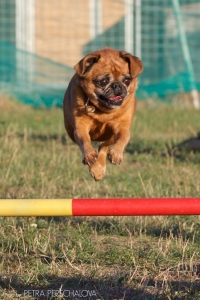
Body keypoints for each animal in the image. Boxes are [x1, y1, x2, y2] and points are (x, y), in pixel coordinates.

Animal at [63, 47, 143, 180]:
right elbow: (84, 140)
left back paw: (100, 166)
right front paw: (90, 156)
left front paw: (116, 154)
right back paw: (96, 168)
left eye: (127, 80)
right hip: (70, 131)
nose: (117, 85)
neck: (103, 111)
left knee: (103, 146)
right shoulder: (80, 128)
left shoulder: (122, 128)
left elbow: (123, 137)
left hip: (110, 136)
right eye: (103, 81)